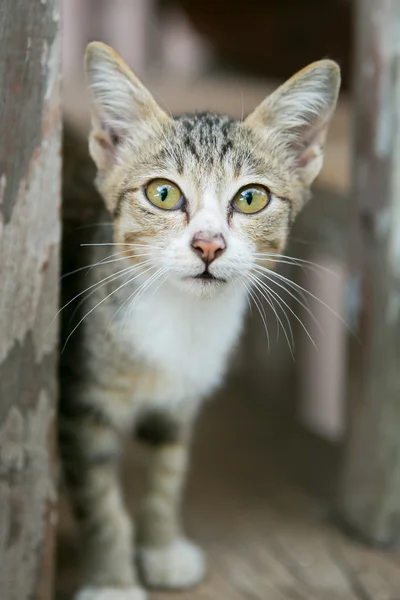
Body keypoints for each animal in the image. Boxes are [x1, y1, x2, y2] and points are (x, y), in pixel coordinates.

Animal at [60, 42, 340, 600]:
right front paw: (112, 582)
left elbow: (168, 475)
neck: (181, 317)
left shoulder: (180, 401)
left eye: (251, 198)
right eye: (163, 194)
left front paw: (162, 548)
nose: (208, 245)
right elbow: (101, 503)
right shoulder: (80, 405)